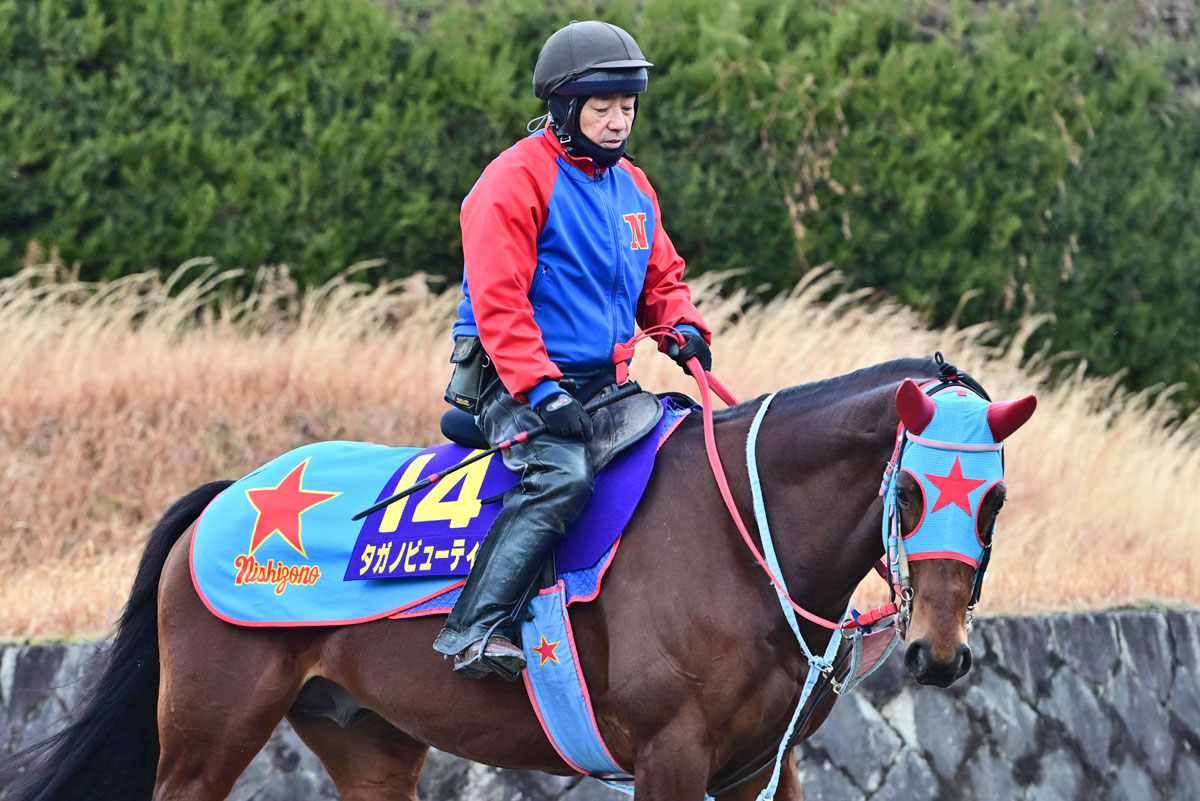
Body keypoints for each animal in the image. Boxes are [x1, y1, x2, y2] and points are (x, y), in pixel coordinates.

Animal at [1, 356, 1036, 801]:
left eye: (993, 499)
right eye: (911, 490)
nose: (939, 655)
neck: (742, 540)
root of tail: (229, 493)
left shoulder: (755, 770)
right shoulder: (670, 759)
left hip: (368, 743)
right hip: (207, 736)